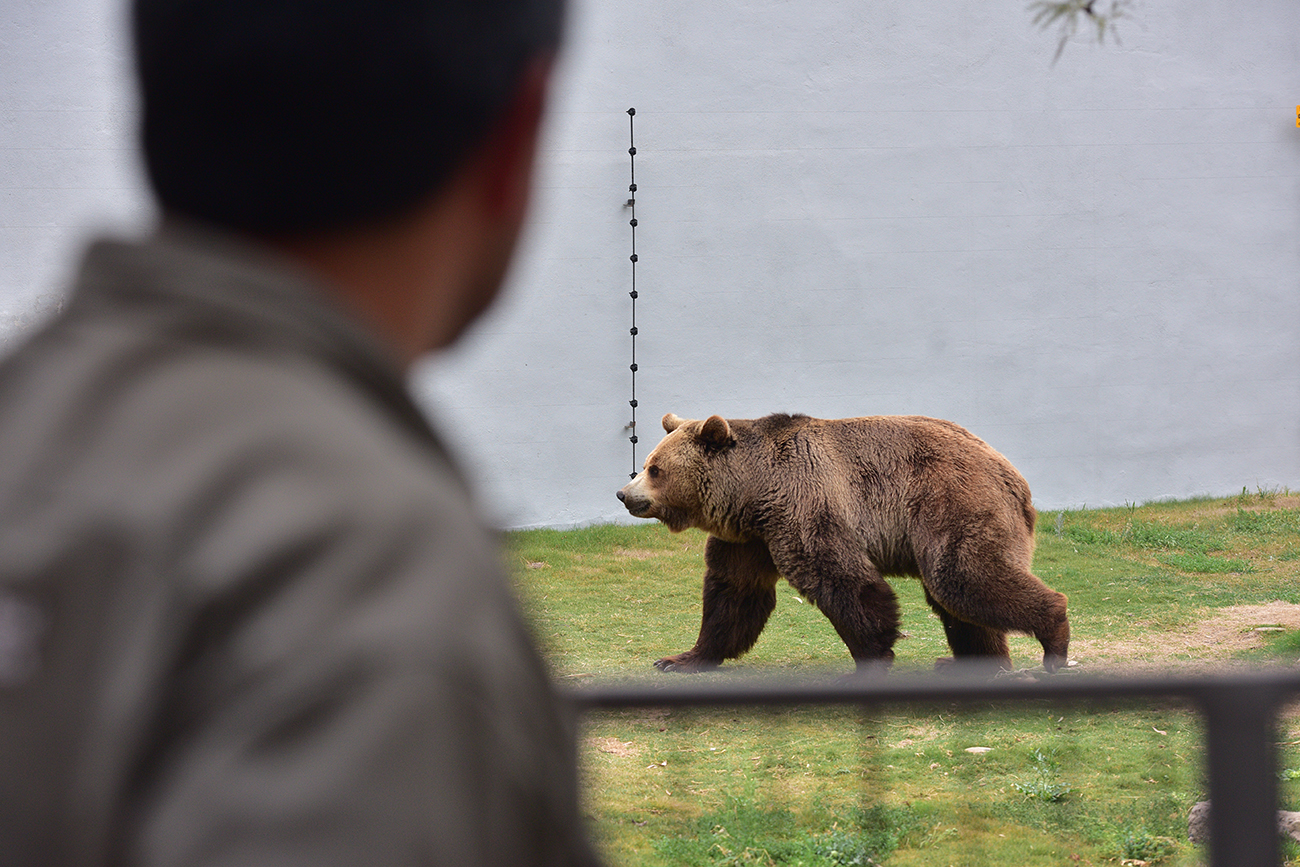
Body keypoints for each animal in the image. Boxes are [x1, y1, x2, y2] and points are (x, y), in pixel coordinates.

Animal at [616, 412, 1069, 675]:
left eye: (654, 469)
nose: (624, 494)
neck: (752, 492)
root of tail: (1012, 475)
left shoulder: (804, 504)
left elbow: (841, 579)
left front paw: (874, 653)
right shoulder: (750, 538)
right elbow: (734, 593)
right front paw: (680, 658)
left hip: (950, 502)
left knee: (963, 579)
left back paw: (1054, 639)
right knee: (958, 600)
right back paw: (974, 664)